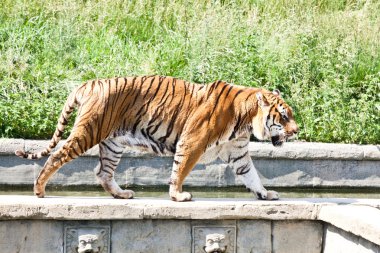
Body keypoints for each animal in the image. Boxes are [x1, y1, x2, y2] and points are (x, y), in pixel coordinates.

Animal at [14, 75, 298, 202]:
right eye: (284, 116)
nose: (296, 131)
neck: (245, 120)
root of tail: (89, 83)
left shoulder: (238, 152)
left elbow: (251, 174)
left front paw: (266, 194)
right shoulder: (191, 143)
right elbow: (180, 170)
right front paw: (178, 196)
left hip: (112, 143)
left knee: (103, 172)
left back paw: (121, 194)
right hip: (88, 132)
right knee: (57, 156)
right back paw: (38, 189)